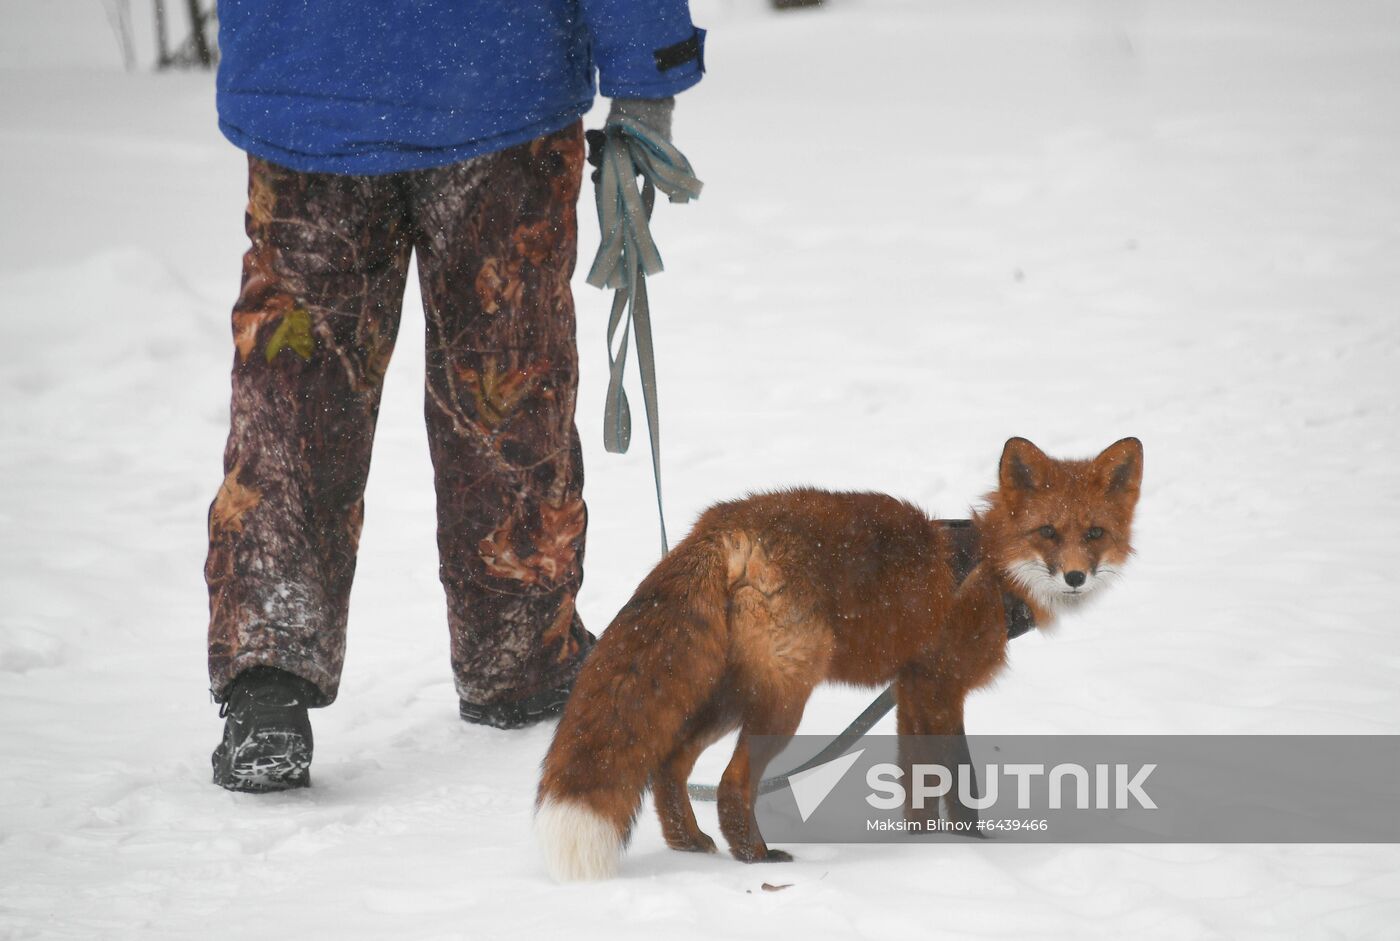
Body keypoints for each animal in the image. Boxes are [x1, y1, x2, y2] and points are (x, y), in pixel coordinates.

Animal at [532, 436, 1136, 879]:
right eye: (1048, 532)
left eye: (1094, 533)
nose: (1075, 577)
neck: (990, 571)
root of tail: (721, 525)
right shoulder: (940, 688)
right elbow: (960, 787)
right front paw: (979, 851)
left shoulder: (911, 692)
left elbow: (919, 792)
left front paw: (921, 851)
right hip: (781, 702)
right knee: (730, 784)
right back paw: (757, 859)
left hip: (728, 695)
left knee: (669, 764)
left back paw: (691, 844)